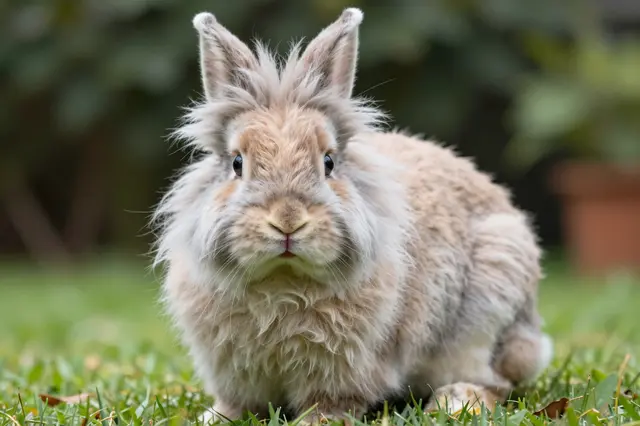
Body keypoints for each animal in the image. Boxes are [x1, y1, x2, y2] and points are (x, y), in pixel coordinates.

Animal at [151, 7, 553, 425]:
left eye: (328, 162)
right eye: (237, 163)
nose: (288, 221)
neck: (283, 281)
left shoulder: (345, 370)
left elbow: (331, 402)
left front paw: (316, 421)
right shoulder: (234, 371)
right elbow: (236, 403)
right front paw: (214, 417)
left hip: (490, 295)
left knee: (496, 382)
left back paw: (456, 402)